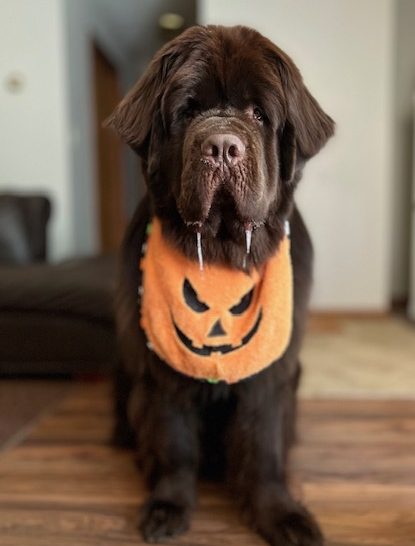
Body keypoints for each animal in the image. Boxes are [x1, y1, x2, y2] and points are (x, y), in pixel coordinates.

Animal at [108, 23, 334, 540]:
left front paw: (280, 514)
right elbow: (173, 444)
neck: (222, 255)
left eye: (257, 113)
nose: (222, 146)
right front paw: (168, 507)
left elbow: (264, 446)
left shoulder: (270, 374)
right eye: (188, 110)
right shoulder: (161, 373)